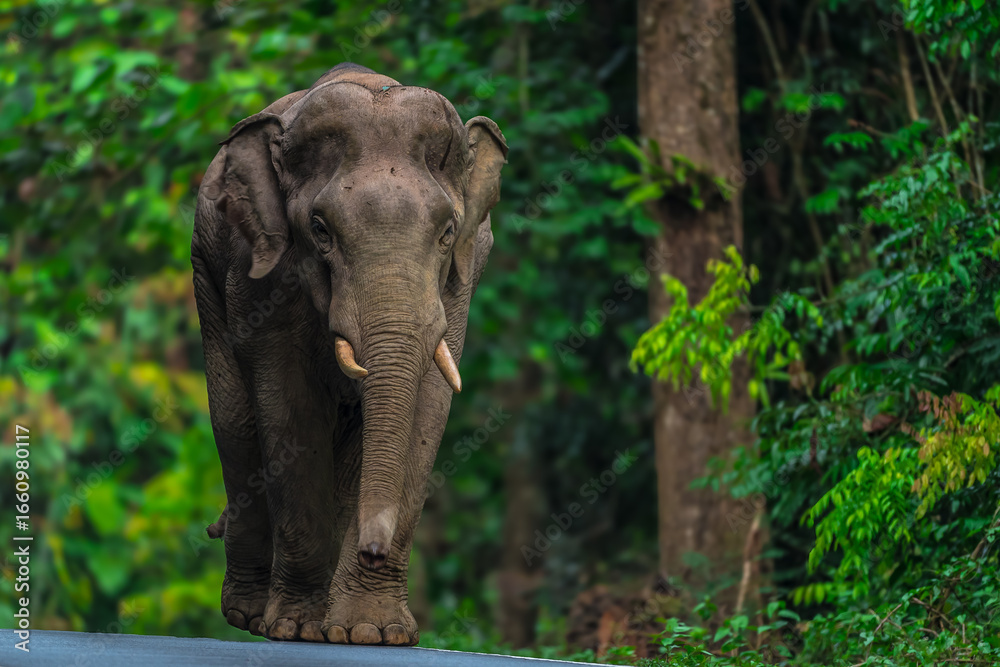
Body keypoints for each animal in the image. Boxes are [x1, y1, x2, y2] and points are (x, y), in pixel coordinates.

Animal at [190, 62, 507, 645]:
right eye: (320, 231)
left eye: (448, 231)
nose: (373, 548)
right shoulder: (264, 279)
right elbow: (289, 407)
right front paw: (294, 628)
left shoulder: (462, 280)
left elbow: (427, 408)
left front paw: (374, 633)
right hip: (206, 271)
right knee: (235, 420)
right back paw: (249, 615)